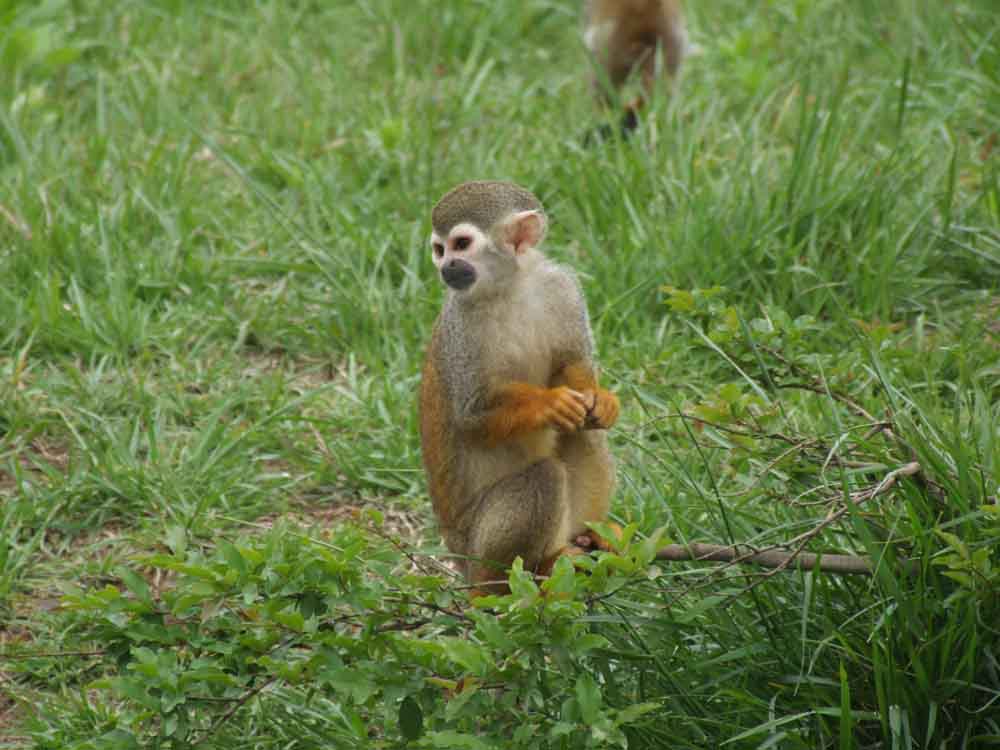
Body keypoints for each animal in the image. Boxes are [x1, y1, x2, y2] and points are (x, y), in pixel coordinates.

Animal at [419, 181, 620, 591]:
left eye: (460, 244)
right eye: (439, 249)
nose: (446, 267)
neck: (511, 286)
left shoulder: (562, 286)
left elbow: (572, 365)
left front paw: (599, 398)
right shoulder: (460, 322)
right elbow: (472, 415)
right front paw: (550, 404)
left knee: (585, 432)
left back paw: (587, 537)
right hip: (476, 546)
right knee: (544, 477)